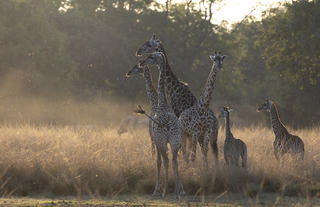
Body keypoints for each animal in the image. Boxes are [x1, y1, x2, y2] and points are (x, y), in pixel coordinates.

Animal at [135, 34, 220, 167]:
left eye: (149, 44)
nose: (138, 51)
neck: (174, 89)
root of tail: (216, 121)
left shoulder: (178, 118)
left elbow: (181, 149)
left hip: (206, 134)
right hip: (208, 136)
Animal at [139, 50, 184, 199]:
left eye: (152, 57)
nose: (142, 62)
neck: (162, 104)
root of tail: (169, 128)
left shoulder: (157, 139)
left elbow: (161, 161)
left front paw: (160, 190)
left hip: (163, 141)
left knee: (166, 160)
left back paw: (165, 191)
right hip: (175, 141)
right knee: (174, 161)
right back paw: (176, 193)